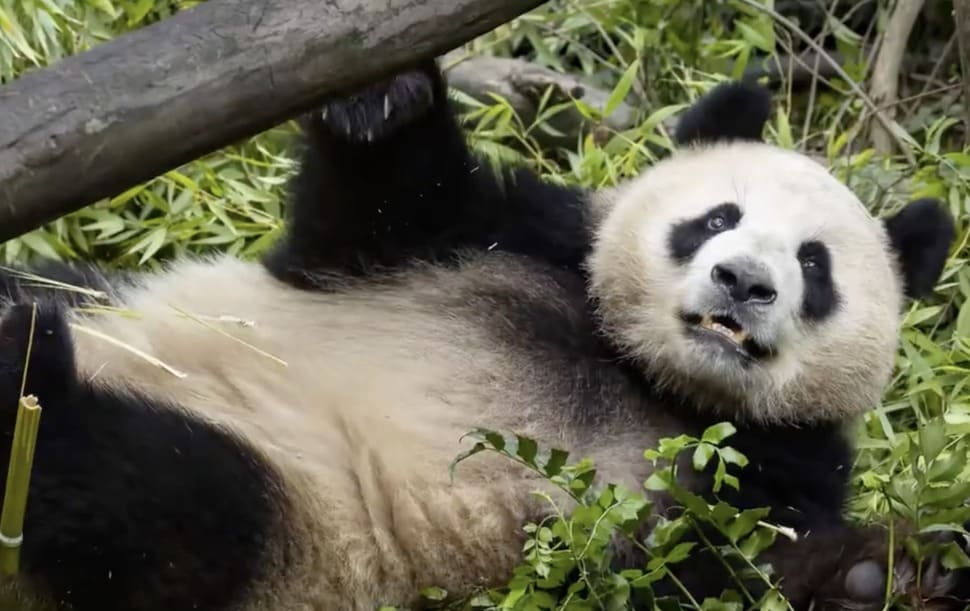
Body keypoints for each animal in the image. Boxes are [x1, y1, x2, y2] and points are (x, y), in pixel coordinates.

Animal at [0, 59, 963, 611]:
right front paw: (380, 97)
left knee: (151, 493)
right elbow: (367, 218)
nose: (744, 281)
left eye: (814, 266)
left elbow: (710, 571)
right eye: (717, 217)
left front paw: (886, 574)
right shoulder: (507, 241)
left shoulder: (765, 462)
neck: (643, 372)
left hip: (306, 528)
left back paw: (30, 375)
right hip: (108, 299)